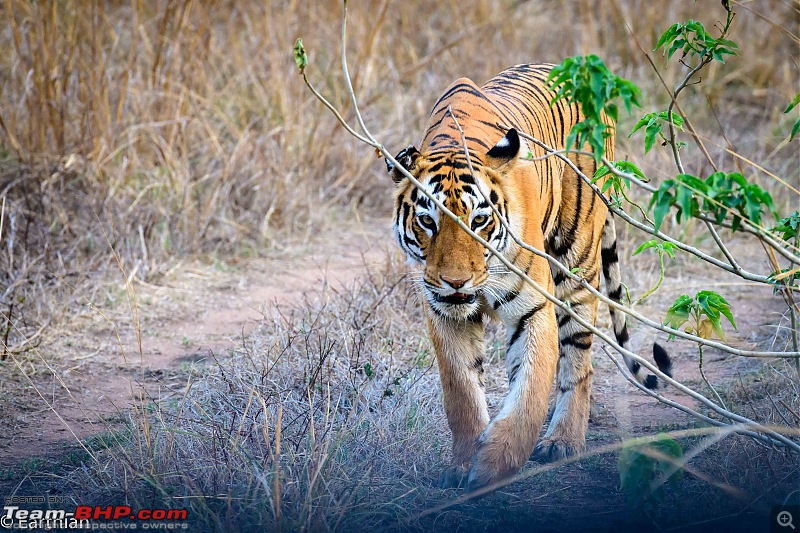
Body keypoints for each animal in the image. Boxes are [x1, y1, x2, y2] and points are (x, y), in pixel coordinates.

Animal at [384, 64, 672, 492]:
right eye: (427, 221)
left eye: (479, 220)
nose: (456, 281)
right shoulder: (444, 314)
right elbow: (462, 394)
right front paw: (464, 463)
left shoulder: (534, 308)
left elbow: (532, 387)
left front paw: (495, 465)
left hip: (575, 265)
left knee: (578, 360)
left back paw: (563, 440)